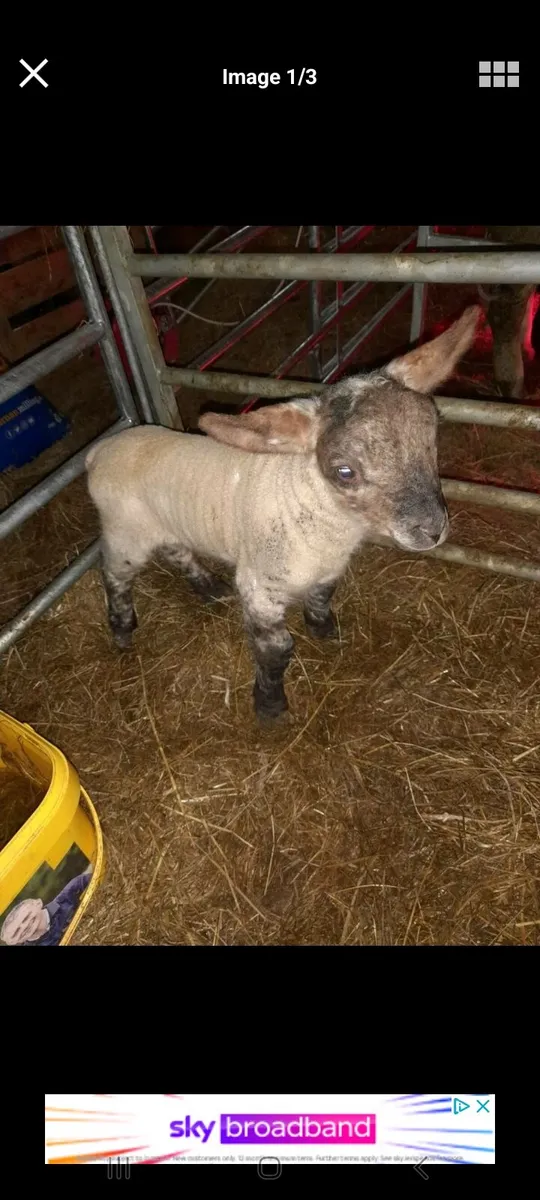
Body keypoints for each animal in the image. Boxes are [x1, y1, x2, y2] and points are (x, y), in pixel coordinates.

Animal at [85, 305, 480, 724]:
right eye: (345, 472)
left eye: (432, 438)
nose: (433, 529)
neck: (313, 505)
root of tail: (100, 451)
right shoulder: (260, 588)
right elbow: (276, 650)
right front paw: (270, 704)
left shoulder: (328, 568)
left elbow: (321, 598)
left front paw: (324, 630)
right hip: (124, 533)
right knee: (114, 575)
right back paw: (122, 628)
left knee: (176, 549)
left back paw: (208, 587)